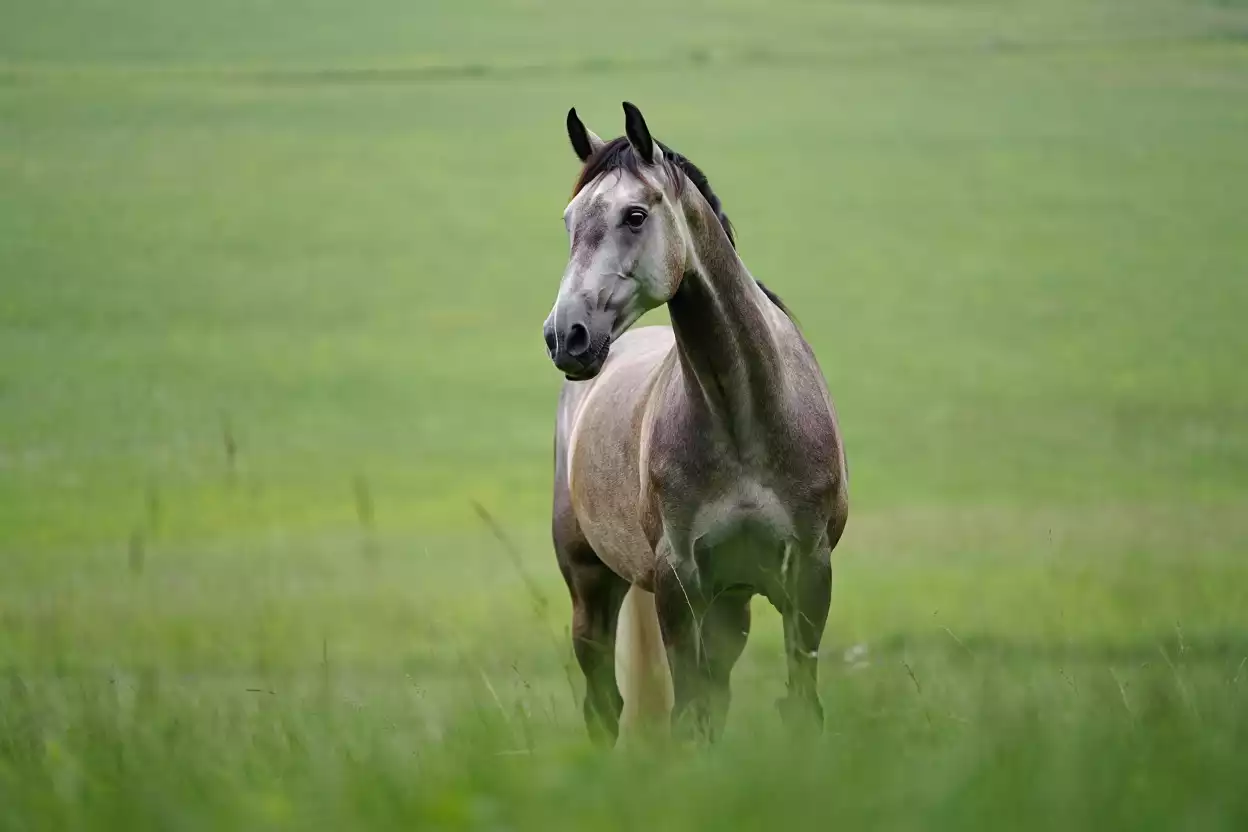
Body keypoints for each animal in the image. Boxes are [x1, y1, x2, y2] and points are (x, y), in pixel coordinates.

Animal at [542, 102, 849, 745]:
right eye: (569, 220)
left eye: (635, 215)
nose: (566, 336)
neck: (746, 420)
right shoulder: (679, 584)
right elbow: (688, 715)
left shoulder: (808, 576)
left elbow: (799, 705)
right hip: (590, 583)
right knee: (603, 704)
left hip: (732, 604)